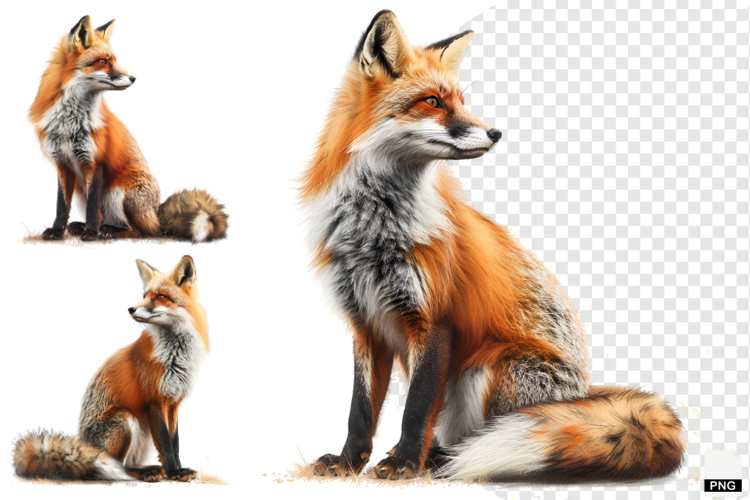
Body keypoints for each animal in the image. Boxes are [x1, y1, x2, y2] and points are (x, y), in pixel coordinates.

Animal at [13, 256, 209, 482]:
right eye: (144, 296)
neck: (176, 355)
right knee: (117, 467)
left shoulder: (174, 402)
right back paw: (145, 472)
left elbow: (175, 443)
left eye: (160, 296)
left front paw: (178, 469)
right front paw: (173, 472)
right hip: (125, 418)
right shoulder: (155, 400)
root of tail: (84, 444)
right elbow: (166, 444)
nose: (131, 309)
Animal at [29, 16, 228, 243]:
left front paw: (90, 233)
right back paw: (83, 227)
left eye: (114, 60)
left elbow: (92, 207)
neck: (70, 121)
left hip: (120, 193)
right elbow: (61, 206)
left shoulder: (95, 162)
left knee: (143, 231)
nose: (133, 78)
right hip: (89, 193)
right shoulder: (62, 163)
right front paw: (56, 231)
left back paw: (107, 231)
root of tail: (156, 214)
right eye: (104, 62)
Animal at [301, 11, 686, 482]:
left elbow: (416, 410)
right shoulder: (365, 324)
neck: (375, 230)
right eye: (433, 101)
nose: (496, 132)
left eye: (461, 100)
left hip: (485, 370)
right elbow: (360, 410)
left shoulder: (436, 321)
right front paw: (348, 462)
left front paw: (405, 462)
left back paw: (439, 460)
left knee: (480, 439)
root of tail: (579, 394)